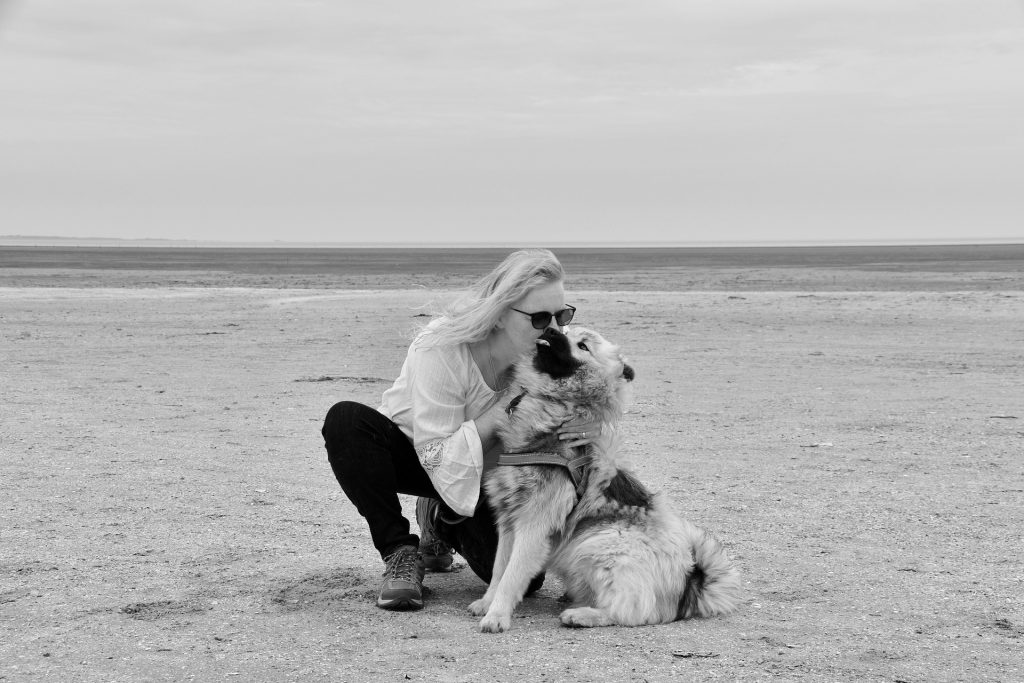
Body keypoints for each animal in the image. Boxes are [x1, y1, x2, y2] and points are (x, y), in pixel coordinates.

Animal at [468, 327, 741, 634]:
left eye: (583, 346)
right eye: (565, 331)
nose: (550, 329)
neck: (555, 406)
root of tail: (689, 582)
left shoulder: (534, 525)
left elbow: (511, 575)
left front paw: (497, 615)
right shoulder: (509, 520)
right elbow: (499, 569)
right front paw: (487, 603)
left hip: (599, 544)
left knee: (631, 612)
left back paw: (582, 615)